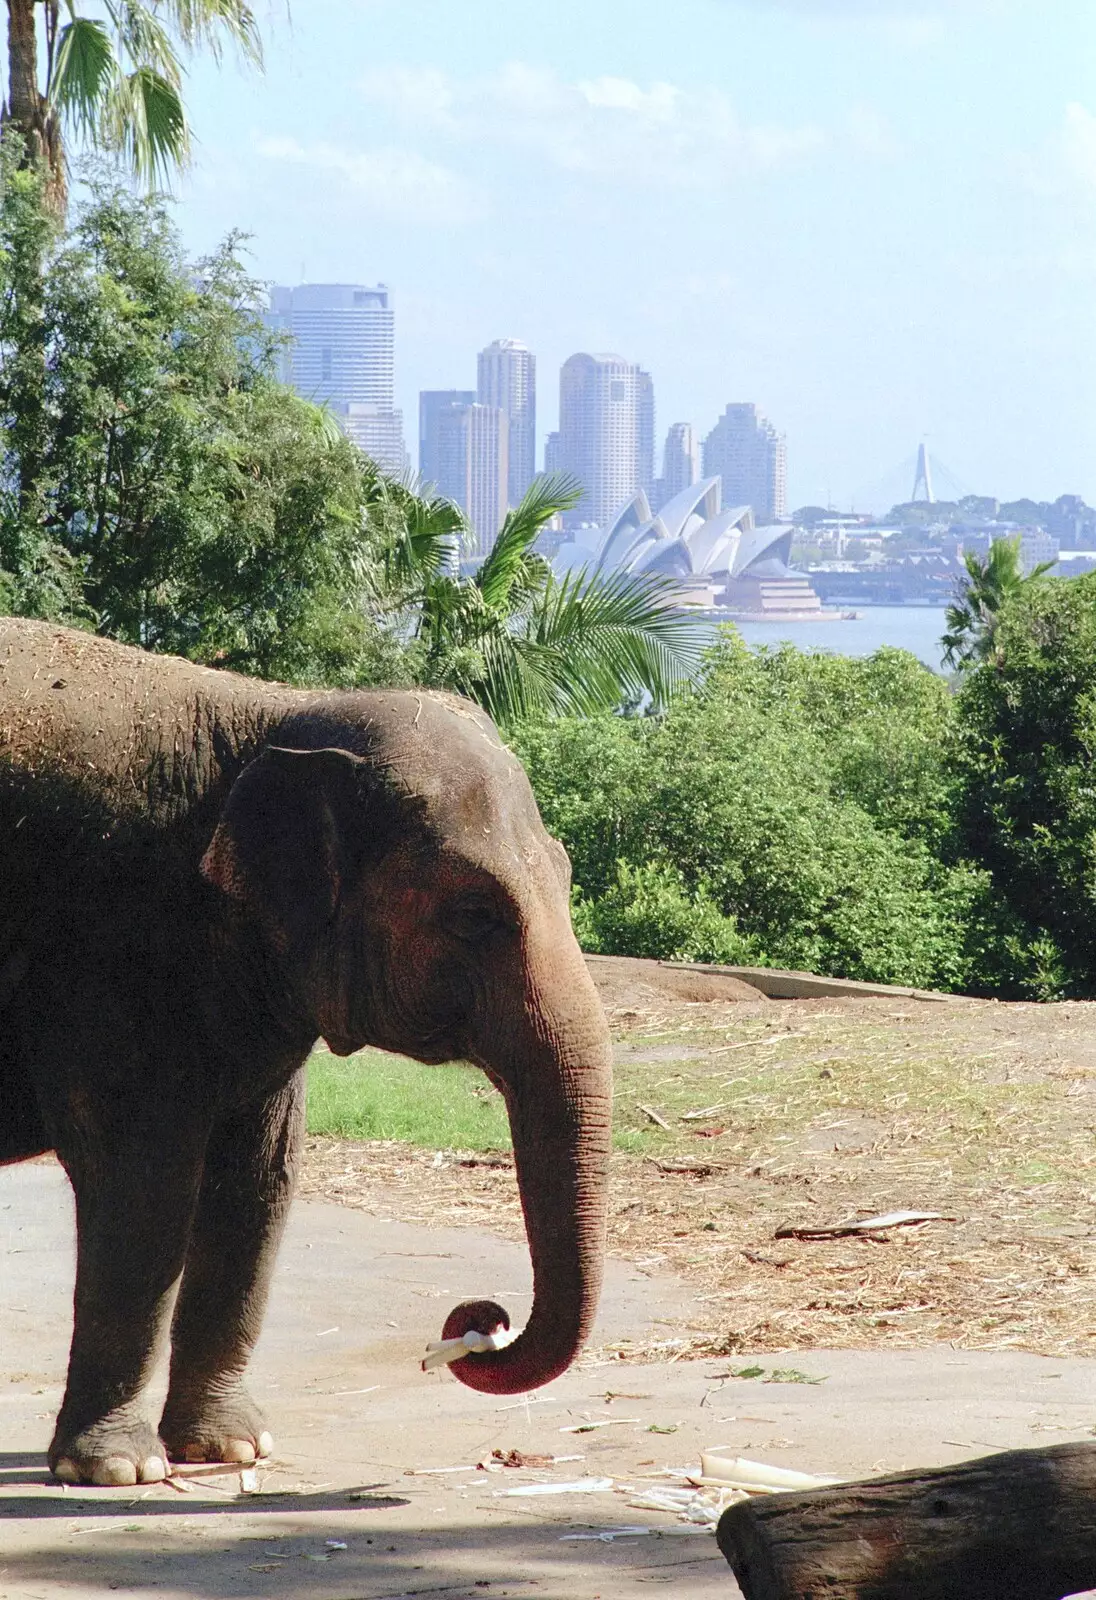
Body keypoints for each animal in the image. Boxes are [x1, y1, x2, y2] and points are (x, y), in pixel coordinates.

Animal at [0, 620, 611, 1484]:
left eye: (563, 871)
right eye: (472, 915)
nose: (475, 1324)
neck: (270, 714)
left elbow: (258, 1185)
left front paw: (230, 1450)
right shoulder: (105, 947)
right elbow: (144, 1188)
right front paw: (118, 1471)